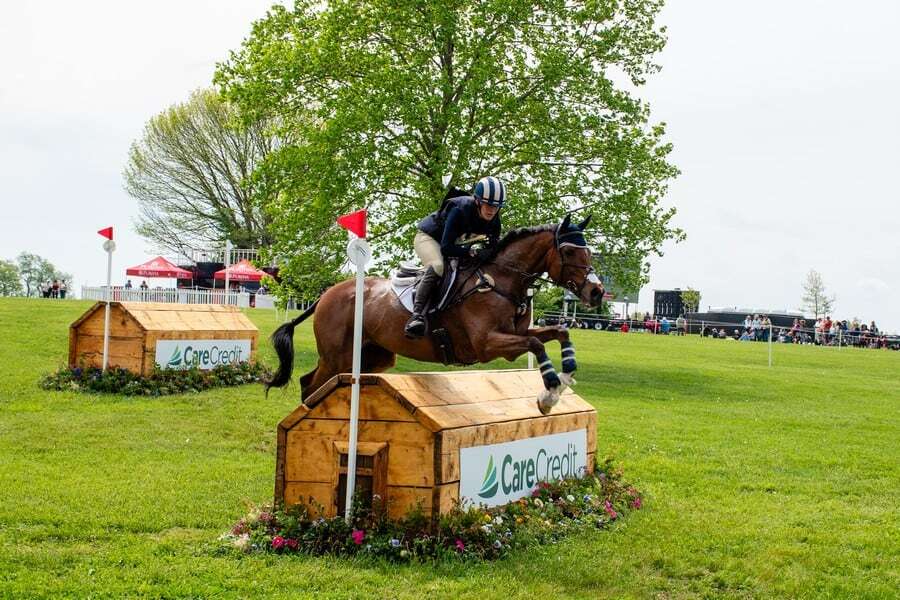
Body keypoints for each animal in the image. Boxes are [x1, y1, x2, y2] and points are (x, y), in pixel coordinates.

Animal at [267, 213, 605, 414]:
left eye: (590, 252)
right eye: (570, 251)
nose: (596, 292)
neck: (501, 280)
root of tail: (327, 294)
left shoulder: (514, 336)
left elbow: (560, 332)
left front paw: (566, 376)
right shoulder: (487, 343)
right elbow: (536, 344)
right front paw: (549, 395)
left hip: (371, 356)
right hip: (337, 356)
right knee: (310, 384)